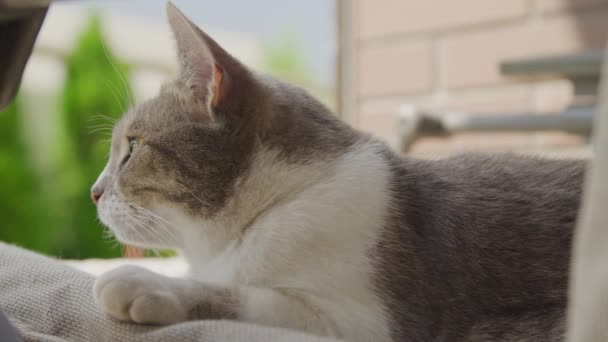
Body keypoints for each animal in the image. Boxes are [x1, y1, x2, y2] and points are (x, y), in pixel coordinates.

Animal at [92, 3, 588, 342]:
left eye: (131, 147)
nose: (94, 192)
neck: (281, 202)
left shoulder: (366, 322)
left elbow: (245, 296)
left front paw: (149, 284)